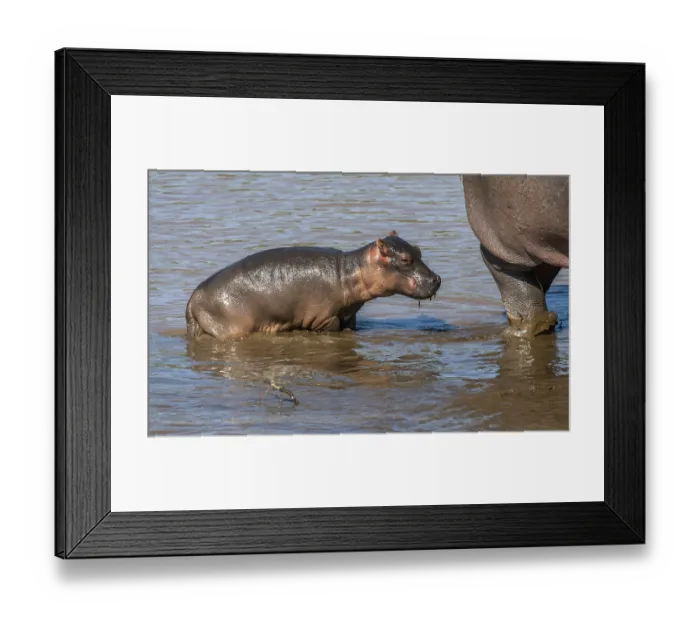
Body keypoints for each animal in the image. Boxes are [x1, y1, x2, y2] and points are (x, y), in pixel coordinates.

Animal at [186, 232, 441, 340]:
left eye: (418, 250)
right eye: (405, 259)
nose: (437, 279)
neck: (350, 270)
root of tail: (192, 299)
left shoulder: (350, 315)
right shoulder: (324, 318)